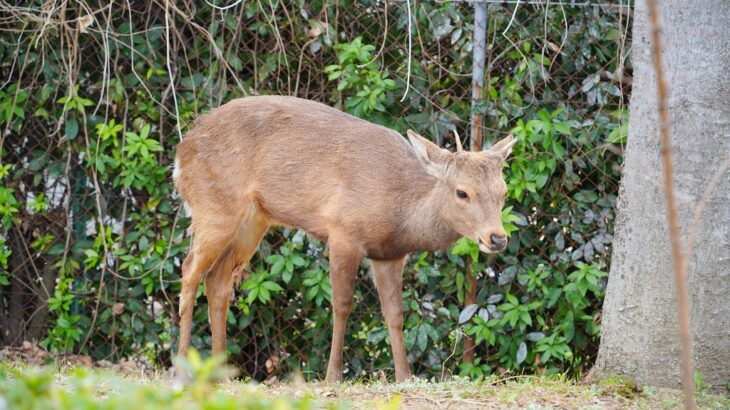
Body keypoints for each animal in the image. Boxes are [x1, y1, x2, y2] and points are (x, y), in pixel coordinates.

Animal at [173, 95, 515, 382]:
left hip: (253, 221)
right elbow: (341, 304)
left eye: (503, 191)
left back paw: (221, 373)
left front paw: (404, 376)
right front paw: (333, 376)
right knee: (189, 270)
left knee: (217, 281)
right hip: (214, 207)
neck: (401, 211)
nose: (497, 238)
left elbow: (395, 313)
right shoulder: (343, 231)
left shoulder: (389, 255)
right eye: (462, 192)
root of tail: (180, 153)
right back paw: (180, 369)